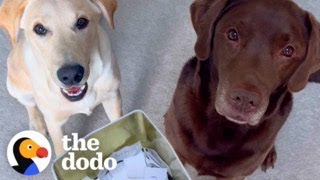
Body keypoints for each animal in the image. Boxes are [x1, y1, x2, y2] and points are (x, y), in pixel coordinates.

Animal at [0, 0, 122, 155]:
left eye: (81, 22)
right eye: (39, 29)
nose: (71, 75)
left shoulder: (113, 98)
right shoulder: (54, 124)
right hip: (15, 87)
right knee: (29, 104)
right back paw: (37, 124)